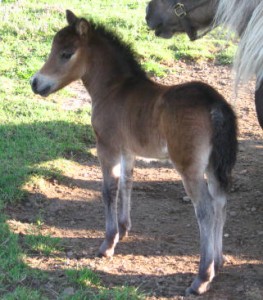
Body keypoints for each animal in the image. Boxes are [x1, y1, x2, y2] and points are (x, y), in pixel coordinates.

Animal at [31, 11, 239, 296]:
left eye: (66, 54)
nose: (35, 83)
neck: (114, 89)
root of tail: (215, 105)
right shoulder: (127, 150)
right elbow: (126, 184)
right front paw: (123, 228)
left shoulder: (105, 146)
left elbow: (108, 190)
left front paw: (108, 243)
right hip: (214, 167)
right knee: (220, 203)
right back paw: (218, 263)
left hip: (189, 167)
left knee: (205, 209)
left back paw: (202, 278)